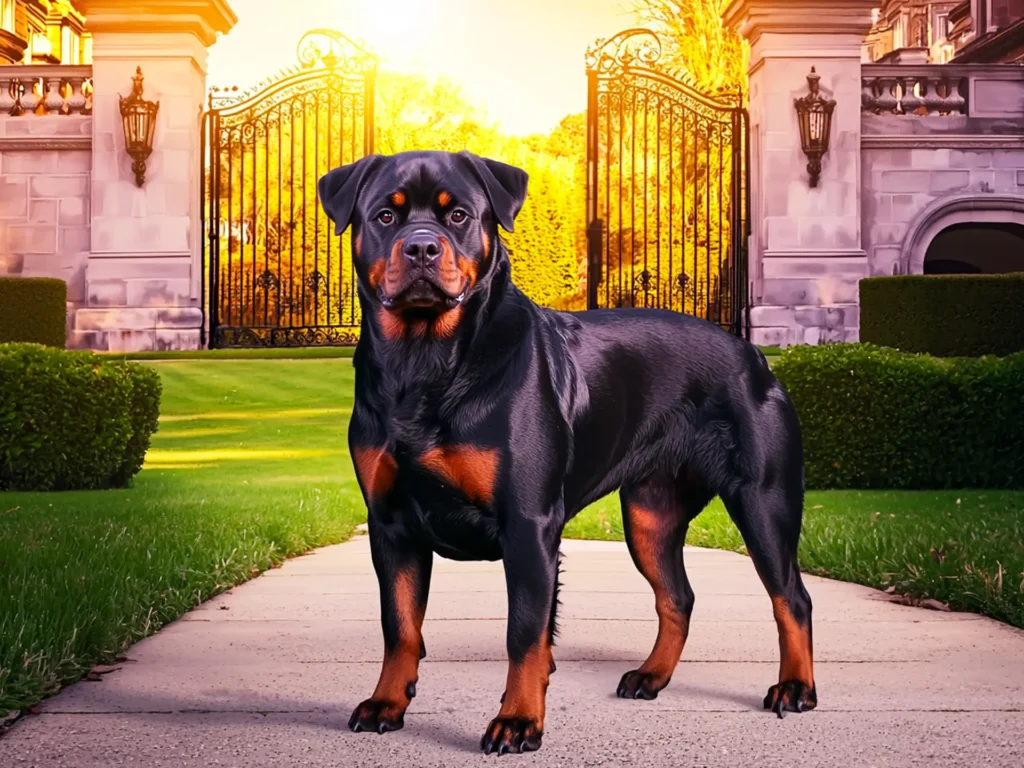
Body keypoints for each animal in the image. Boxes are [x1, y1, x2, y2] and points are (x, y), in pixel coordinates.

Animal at [319, 151, 815, 757]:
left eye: (458, 215)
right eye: (384, 217)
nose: (421, 247)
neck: (424, 360)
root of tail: (754, 355)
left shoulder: (527, 523)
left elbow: (525, 633)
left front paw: (518, 721)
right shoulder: (391, 523)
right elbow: (400, 626)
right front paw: (387, 703)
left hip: (763, 500)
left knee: (791, 597)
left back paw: (795, 688)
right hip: (649, 516)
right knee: (677, 596)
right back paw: (652, 675)